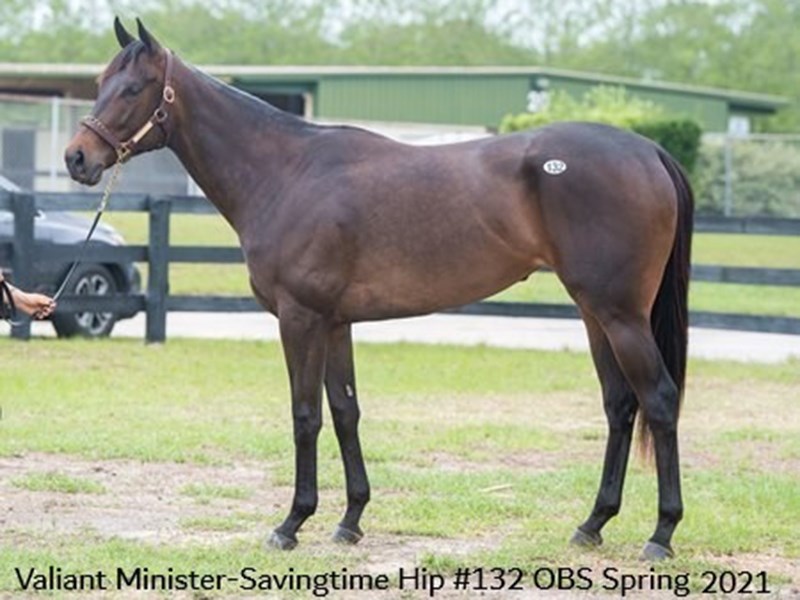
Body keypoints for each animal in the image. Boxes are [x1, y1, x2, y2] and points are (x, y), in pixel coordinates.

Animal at [64, 18, 693, 561]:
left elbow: (305, 415)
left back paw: (661, 534)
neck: (286, 173)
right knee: (619, 405)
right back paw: (592, 524)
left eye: (134, 88)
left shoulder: (300, 318)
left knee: (660, 400)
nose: (77, 158)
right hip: (595, 314)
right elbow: (345, 411)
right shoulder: (336, 322)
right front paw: (349, 521)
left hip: (620, 315)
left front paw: (291, 523)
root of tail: (650, 151)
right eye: (99, 84)